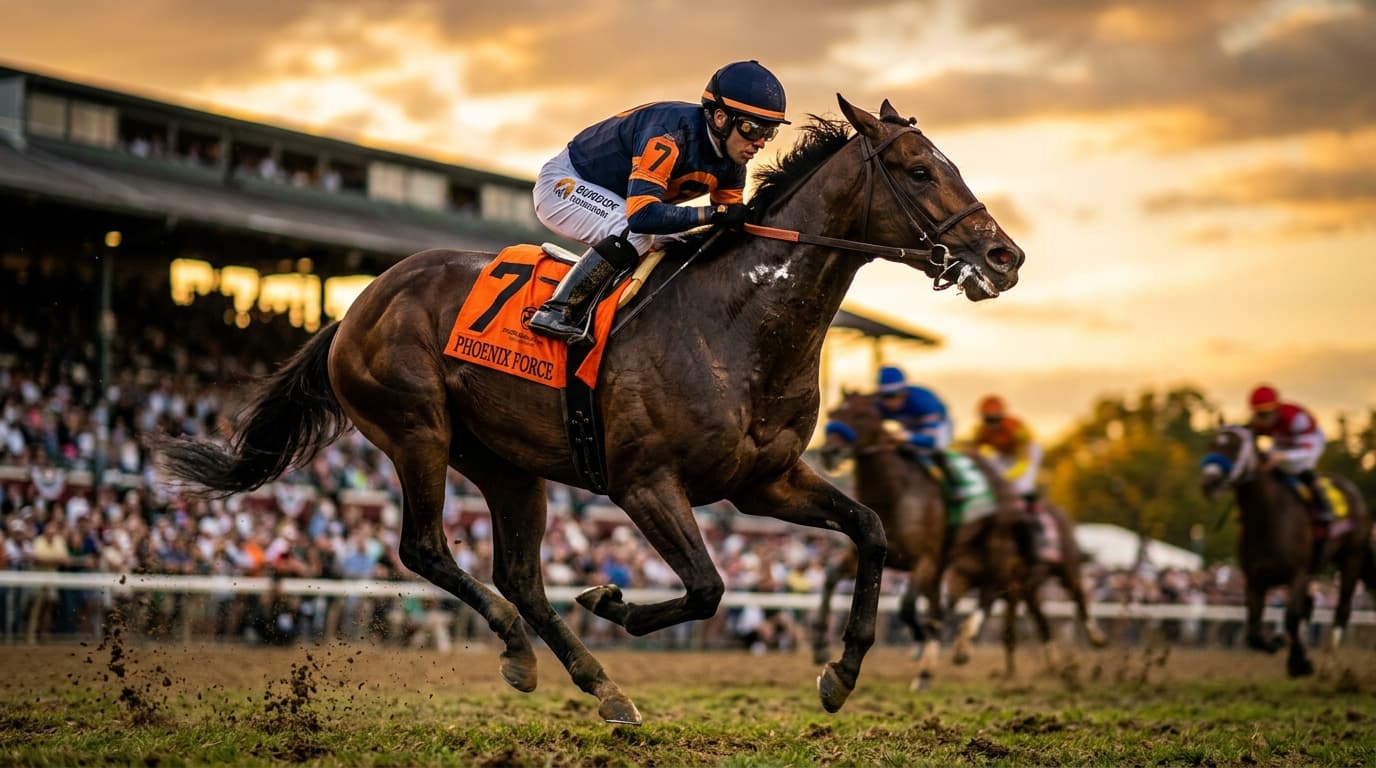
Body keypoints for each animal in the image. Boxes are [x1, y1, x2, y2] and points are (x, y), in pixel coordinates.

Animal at [150, 94, 1024, 725]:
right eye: (918, 169)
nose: (1004, 255)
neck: (736, 325)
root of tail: (357, 306)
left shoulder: (764, 483)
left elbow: (870, 532)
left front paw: (841, 673)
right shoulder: (643, 482)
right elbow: (708, 588)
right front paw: (613, 599)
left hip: (505, 463)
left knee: (518, 573)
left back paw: (597, 684)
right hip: (417, 431)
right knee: (426, 549)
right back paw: (523, 647)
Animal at [814, 392, 1103, 687]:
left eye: (861, 415)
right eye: (833, 413)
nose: (829, 452)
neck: (895, 494)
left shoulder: (926, 558)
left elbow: (908, 607)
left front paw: (922, 640)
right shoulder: (876, 554)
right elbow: (831, 578)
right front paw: (820, 644)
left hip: (1034, 559)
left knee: (1067, 597)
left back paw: (1094, 642)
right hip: (994, 577)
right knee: (1027, 616)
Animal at [1200, 424, 1376, 676]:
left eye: (1234, 448)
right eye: (1211, 444)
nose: (1209, 482)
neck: (1266, 519)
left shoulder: (1297, 573)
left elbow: (1291, 617)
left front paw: (1299, 660)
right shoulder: (1255, 580)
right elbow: (1253, 632)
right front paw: (1282, 646)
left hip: (1352, 558)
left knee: (1341, 608)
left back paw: (1327, 666)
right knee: (1309, 605)